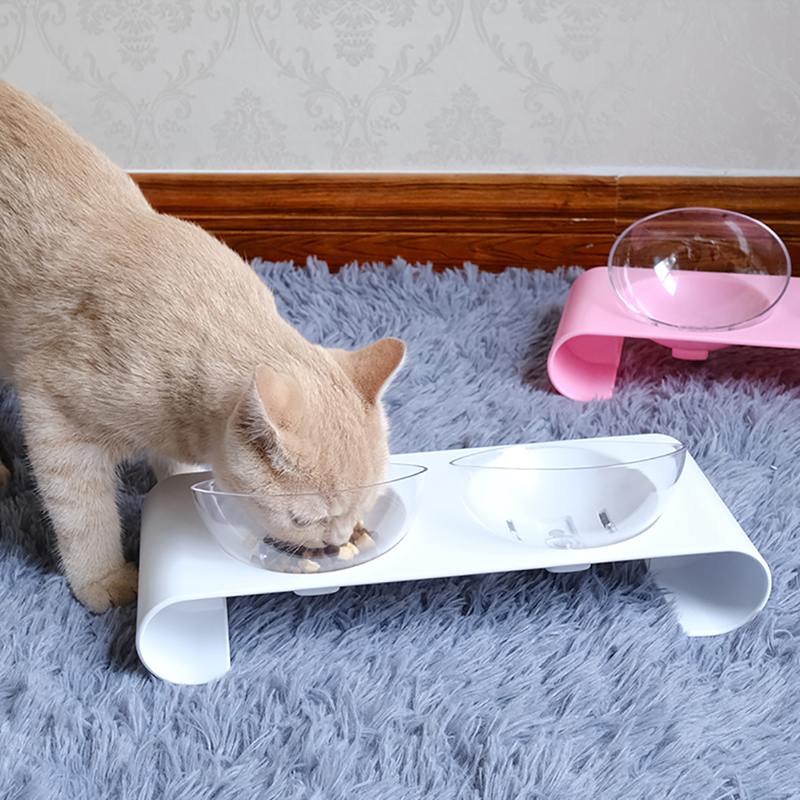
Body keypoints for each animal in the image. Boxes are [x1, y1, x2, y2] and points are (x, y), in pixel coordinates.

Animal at [0, 83, 404, 612]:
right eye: (307, 520)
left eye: (363, 506)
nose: (337, 540)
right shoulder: (56, 420)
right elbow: (84, 515)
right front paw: (104, 578)